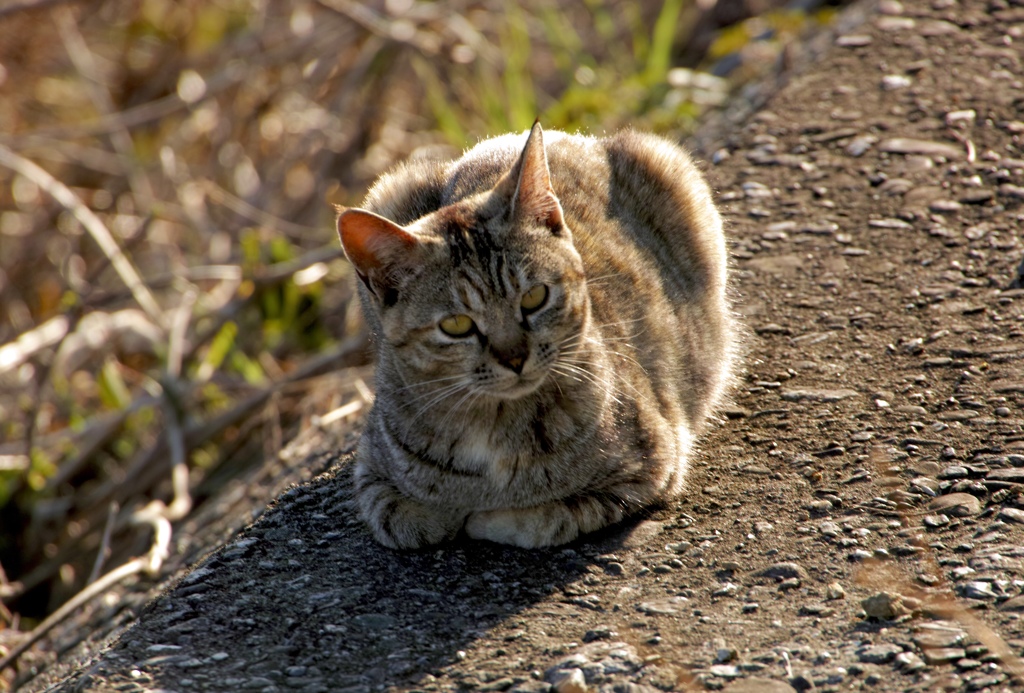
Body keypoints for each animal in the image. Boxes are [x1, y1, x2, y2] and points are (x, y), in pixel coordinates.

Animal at [337, 121, 737, 548]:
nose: (514, 358)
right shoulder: (370, 471)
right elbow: (400, 516)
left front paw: (483, 516)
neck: (493, 425)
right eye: (456, 325)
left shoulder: (650, 466)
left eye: (534, 297)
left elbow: (537, 519)